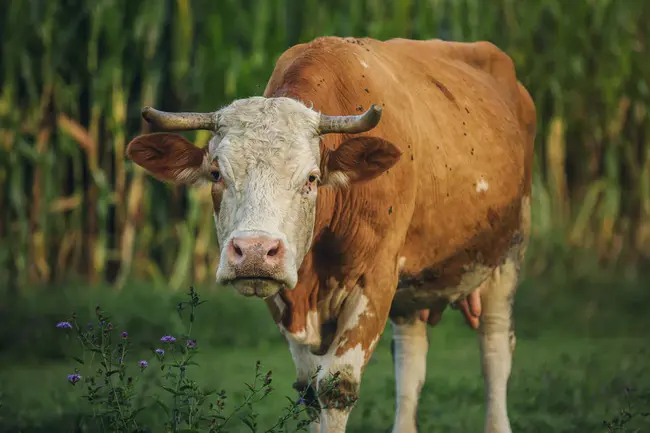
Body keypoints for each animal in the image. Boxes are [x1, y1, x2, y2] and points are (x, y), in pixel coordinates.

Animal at [124, 36, 536, 432]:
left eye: (311, 178)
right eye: (215, 173)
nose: (255, 251)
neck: (313, 281)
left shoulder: (376, 282)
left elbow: (336, 388)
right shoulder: (284, 295)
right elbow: (308, 390)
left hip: (509, 253)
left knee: (495, 350)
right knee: (410, 357)